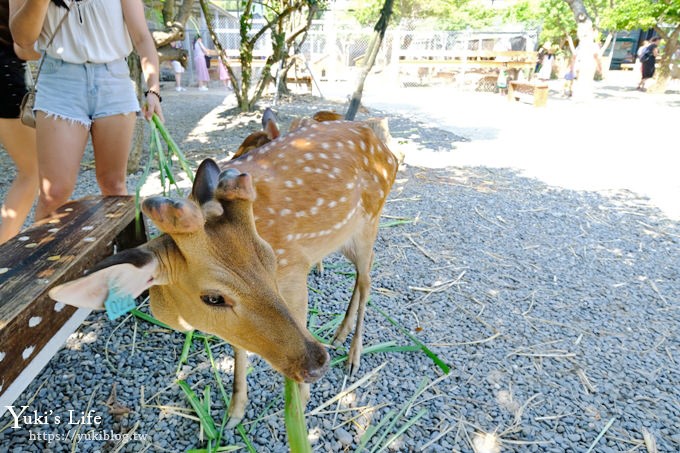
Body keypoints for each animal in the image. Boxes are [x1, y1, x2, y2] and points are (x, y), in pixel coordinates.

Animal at [49, 118, 398, 426]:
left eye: (270, 260)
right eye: (213, 298)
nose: (317, 364)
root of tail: (386, 147)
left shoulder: (294, 270)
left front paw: (300, 405)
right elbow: (239, 349)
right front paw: (233, 414)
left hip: (371, 220)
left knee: (367, 279)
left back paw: (353, 356)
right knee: (361, 275)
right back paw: (338, 335)